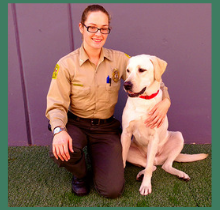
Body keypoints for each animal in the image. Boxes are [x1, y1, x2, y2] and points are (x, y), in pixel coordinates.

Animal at [121, 54, 209, 195]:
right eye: (128, 71)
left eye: (141, 70)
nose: (126, 84)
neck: (144, 100)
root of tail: (158, 159)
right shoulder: (126, 134)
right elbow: (122, 160)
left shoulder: (154, 137)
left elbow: (149, 169)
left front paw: (146, 186)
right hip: (131, 149)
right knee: (151, 166)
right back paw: (141, 174)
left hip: (178, 136)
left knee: (162, 166)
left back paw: (181, 174)